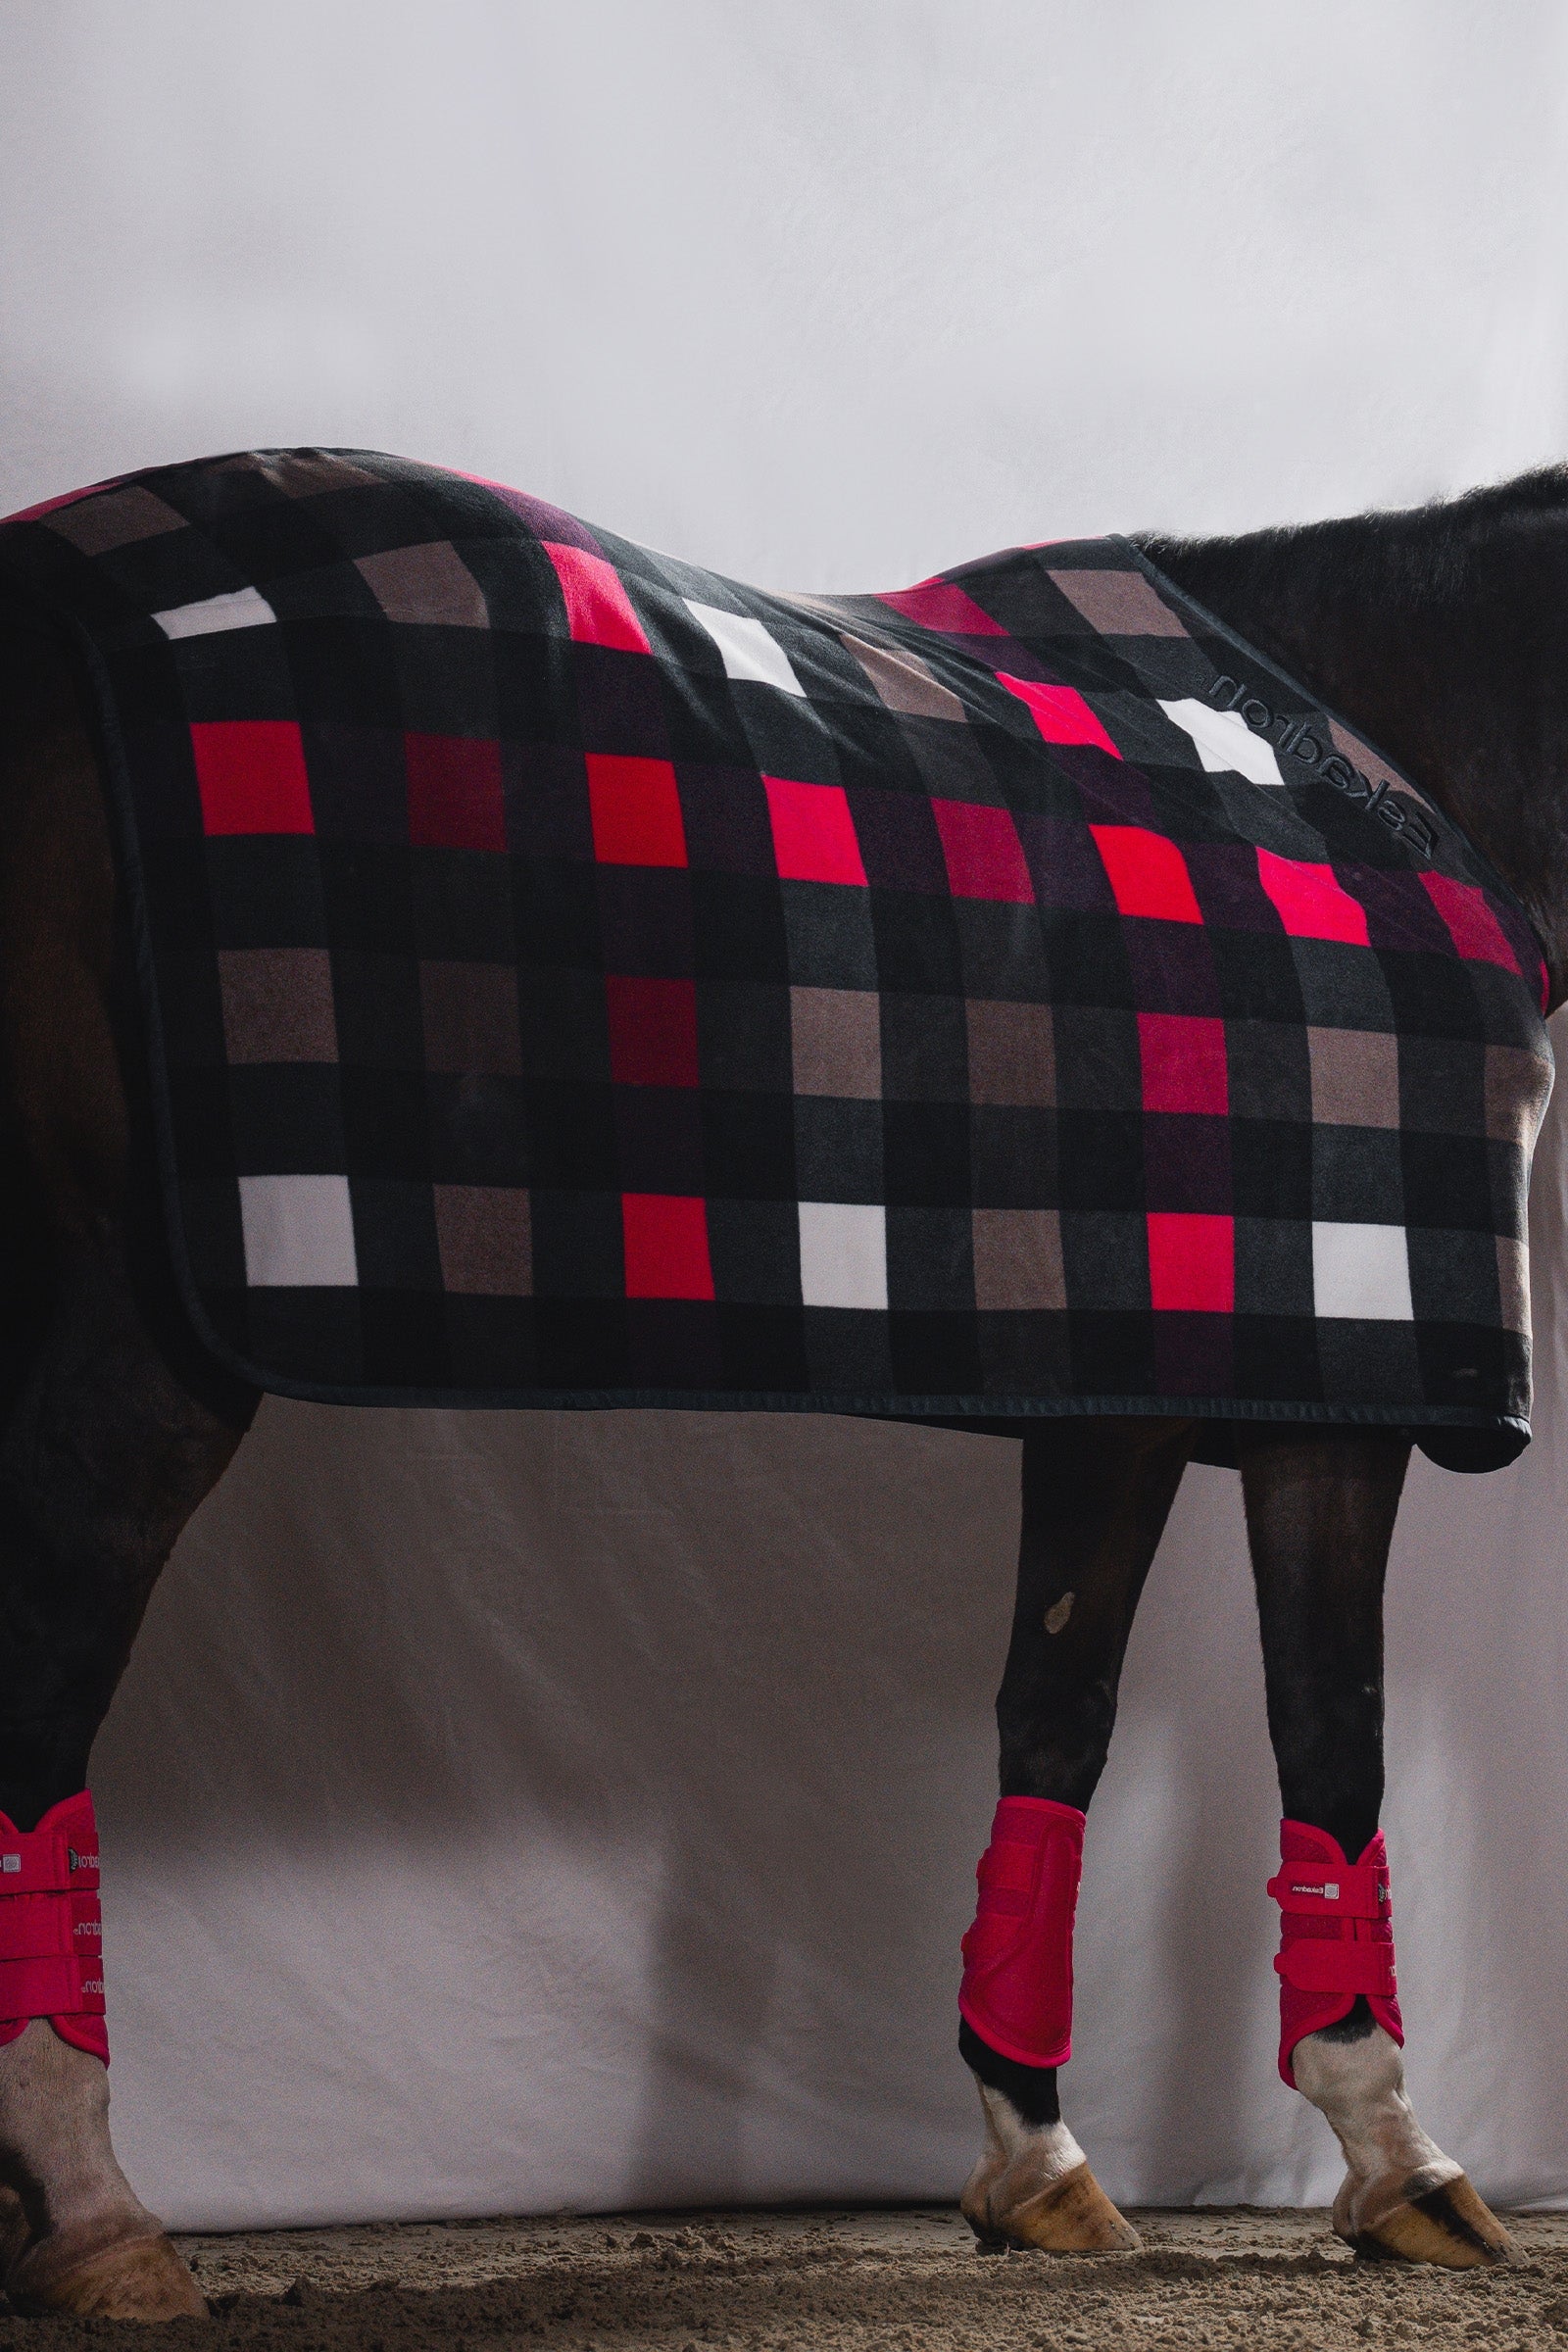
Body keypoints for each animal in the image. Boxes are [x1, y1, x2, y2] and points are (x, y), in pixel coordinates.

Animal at [0, 454, 1558, 2317]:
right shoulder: (1339, 1380)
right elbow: (1335, 1733)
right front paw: (1403, 2155)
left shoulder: (1144, 1375)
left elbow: (1064, 1716)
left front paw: (1037, 2157)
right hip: (138, 1341)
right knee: (40, 1685)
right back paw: (97, 2213)